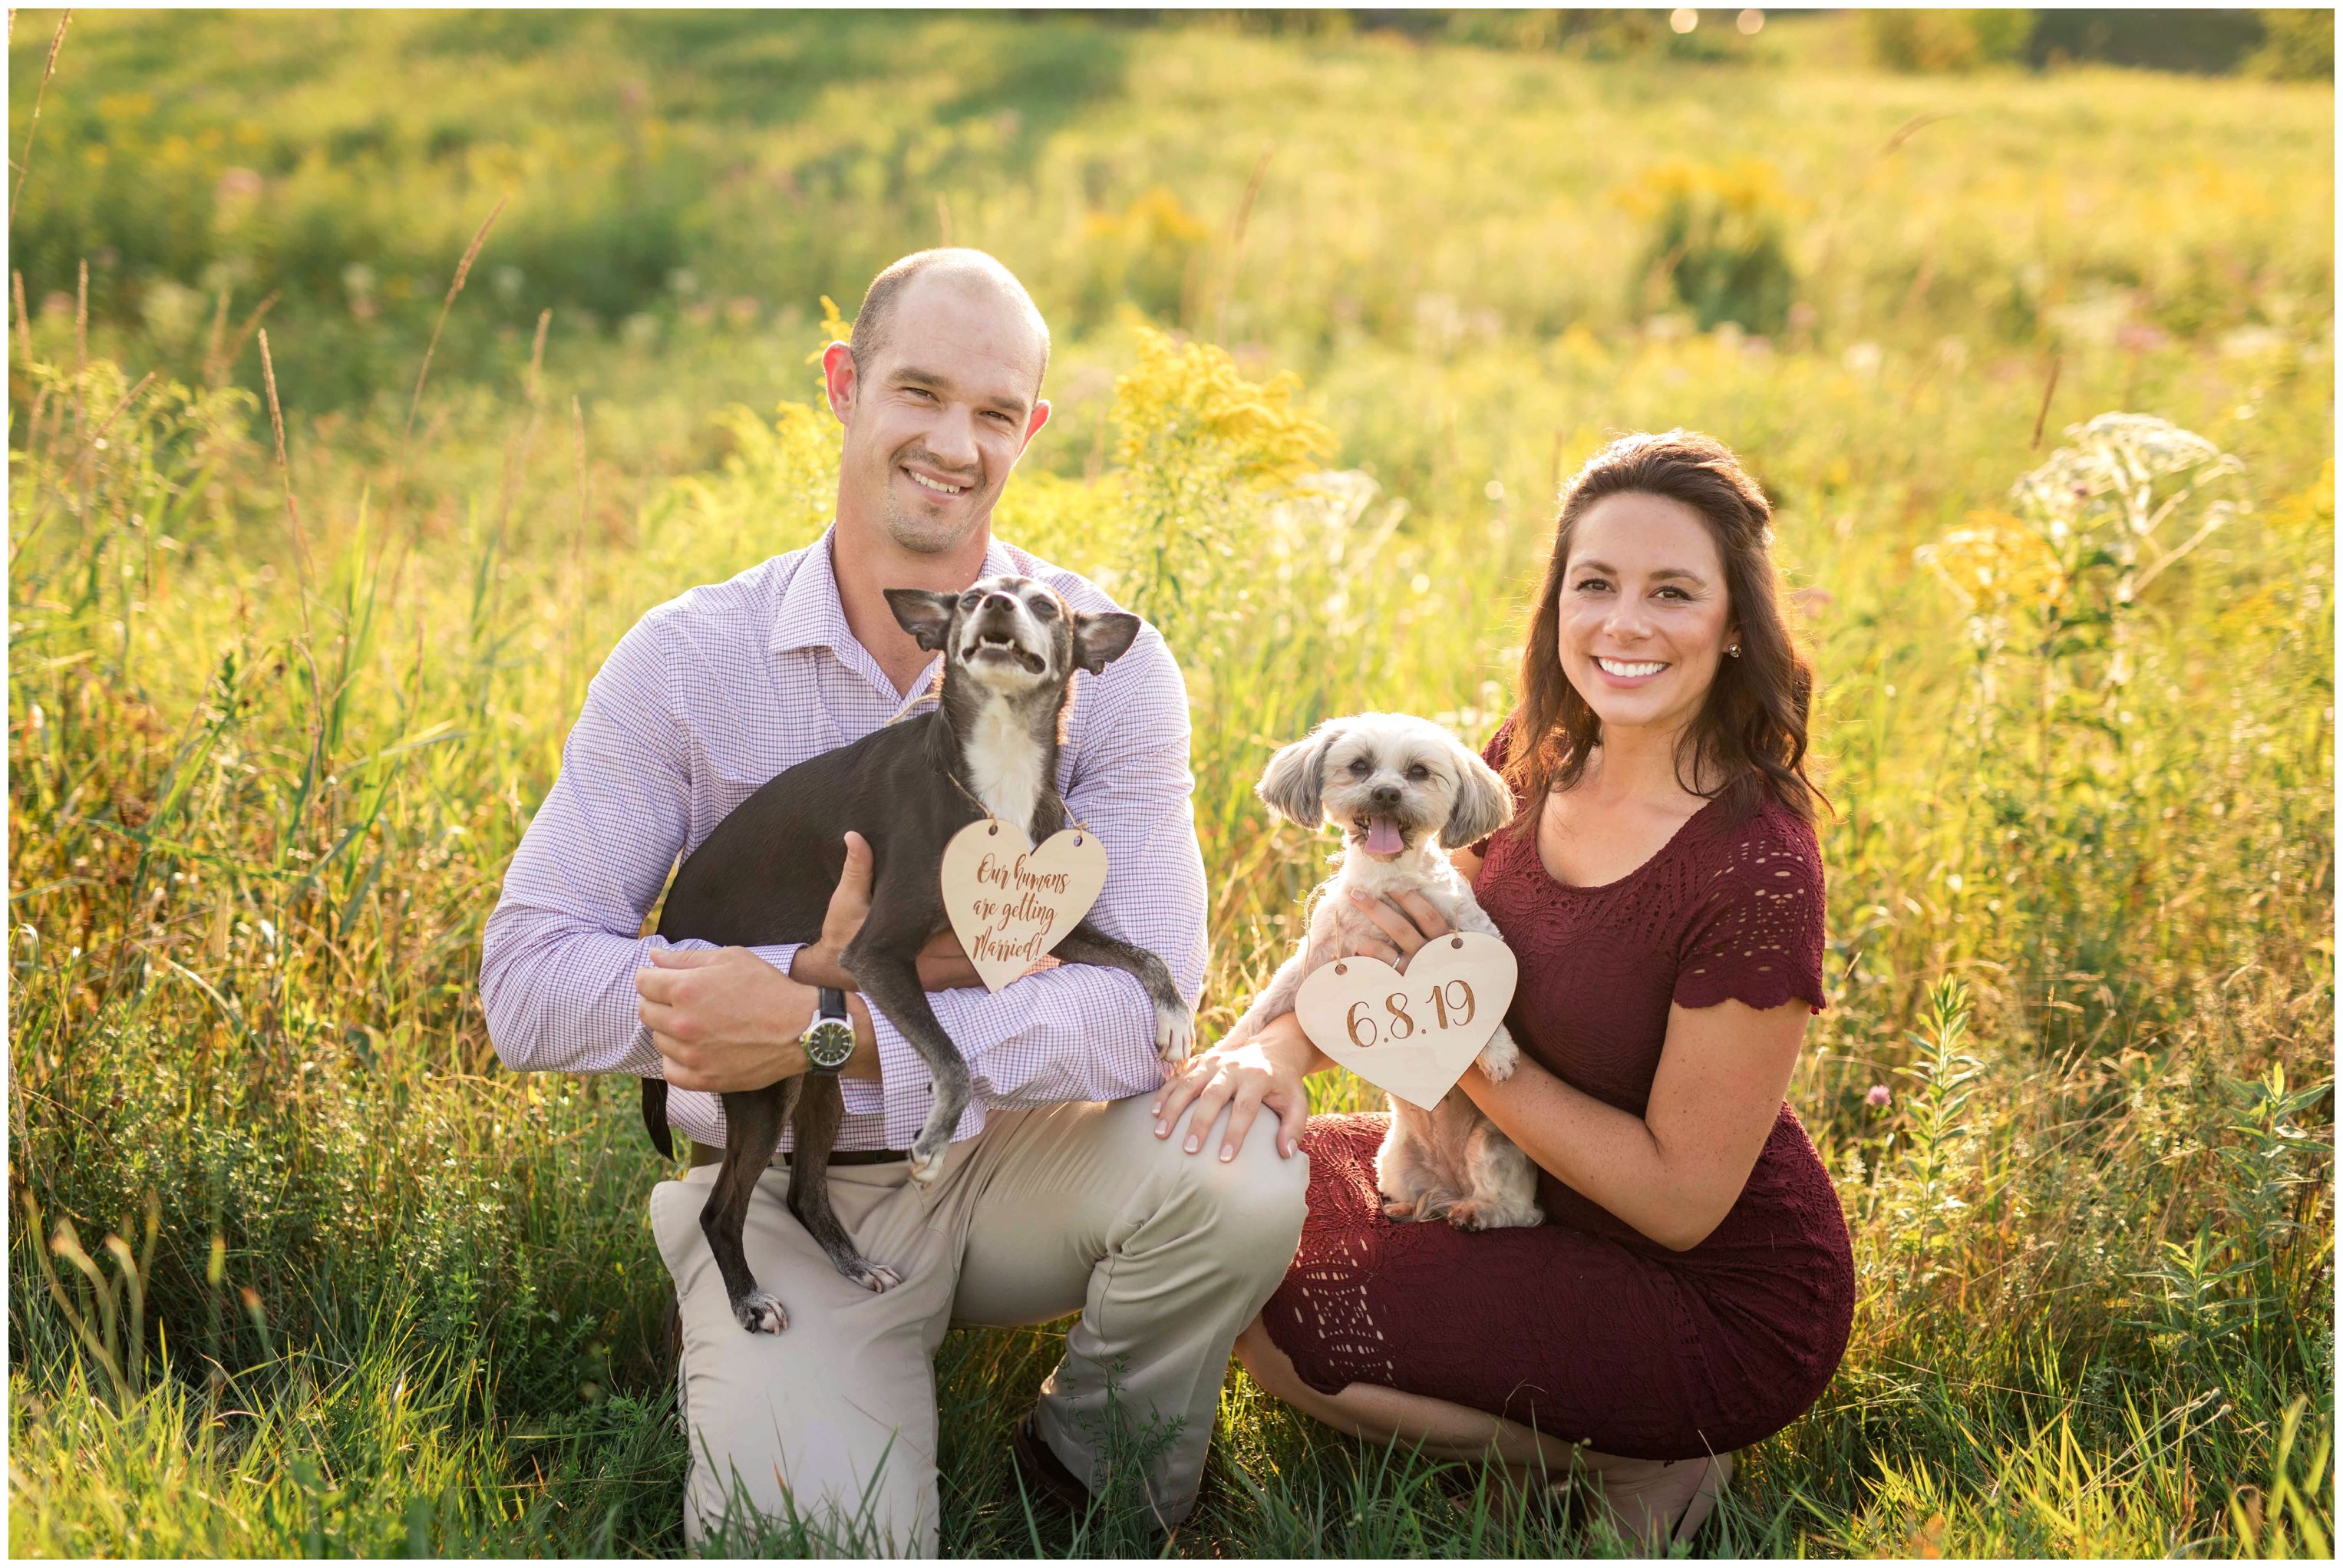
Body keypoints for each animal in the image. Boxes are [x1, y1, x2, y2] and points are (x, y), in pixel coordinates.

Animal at [1227, 712, 1536, 1237]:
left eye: (1418, 772)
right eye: (1360, 766)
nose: (1388, 793)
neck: (1389, 883)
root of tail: (1448, 1185)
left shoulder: (1475, 933)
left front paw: (1496, 1053)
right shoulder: (1320, 955)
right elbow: (1268, 1003)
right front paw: (1227, 1049)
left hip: (1493, 1148)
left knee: (1517, 1210)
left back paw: (1474, 1213)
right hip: (1395, 1160)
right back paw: (1408, 1208)